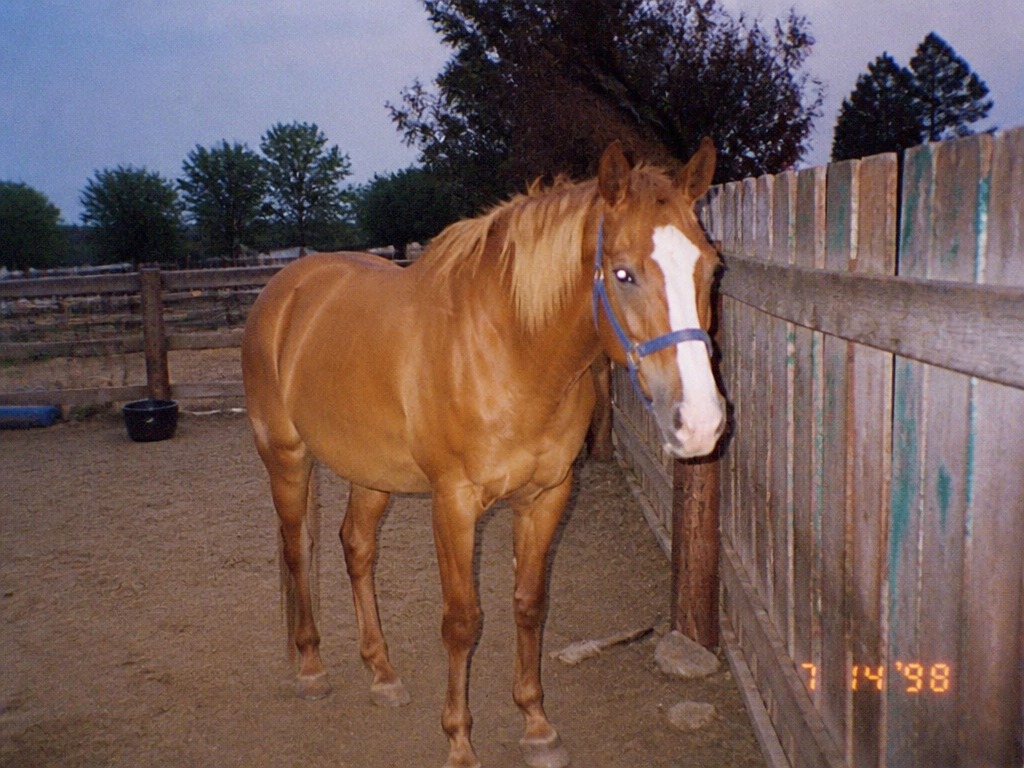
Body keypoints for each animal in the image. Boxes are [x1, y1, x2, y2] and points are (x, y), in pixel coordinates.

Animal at [241, 139, 726, 768]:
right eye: (623, 273)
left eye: (710, 268)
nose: (702, 422)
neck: (510, 348)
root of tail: (284, 290)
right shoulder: (453, 504)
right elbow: (462, 621)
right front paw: (459, 741)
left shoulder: (546, 496)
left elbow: (529, 604)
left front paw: (537, 726)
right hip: (287, 457)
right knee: (298, 550)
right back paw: (311, 667)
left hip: (371, 473)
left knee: (357, 548)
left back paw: (382, 673)